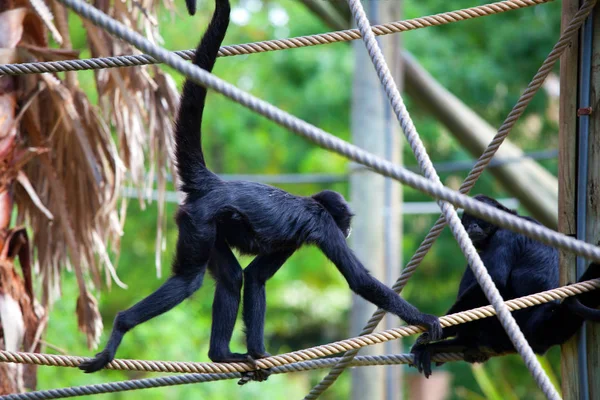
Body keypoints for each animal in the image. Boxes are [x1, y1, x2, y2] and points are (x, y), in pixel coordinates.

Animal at [78, 0, 440, 376]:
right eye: (346, 221)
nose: (351, 229)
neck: (311, 203)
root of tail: (214, 182)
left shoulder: (292, 240)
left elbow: (253, 278)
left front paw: (258, 355)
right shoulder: (322, 226)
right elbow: (360, 282)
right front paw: (426, 319)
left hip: (208, 226)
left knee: (232, 277)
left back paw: (221, 354)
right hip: (199, 221)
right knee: (188, 280)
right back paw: (122, 325)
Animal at [410, 195, 600, 376]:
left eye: (479, 218)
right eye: (469, 220)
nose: (473, 226)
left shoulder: (505, 236)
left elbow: (497, 281)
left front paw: (440, 330)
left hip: (496, 329)